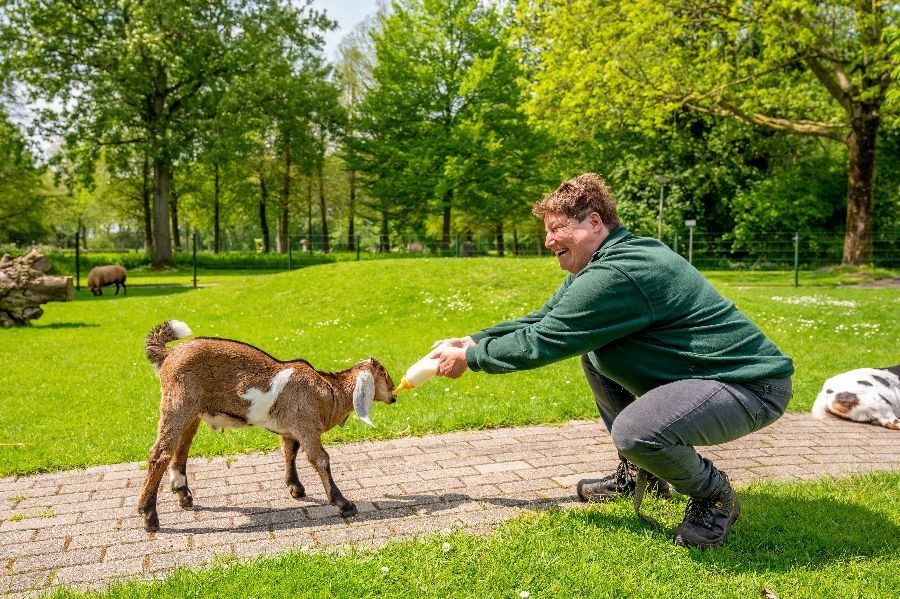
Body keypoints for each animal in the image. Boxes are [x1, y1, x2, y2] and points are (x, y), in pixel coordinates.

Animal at [138, 322, 398, 532]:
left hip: (193, 412)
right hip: (177, 402)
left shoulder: (290, 427)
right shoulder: (305, 424)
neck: (327, 391)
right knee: (160, 453)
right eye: (384, 373)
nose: (394, 395)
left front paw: (296, 488)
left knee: (181, 448)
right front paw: (344, 503)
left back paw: (183, 496)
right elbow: (320, 459)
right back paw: (149, 515)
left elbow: (289, 452)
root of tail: (169, 353)